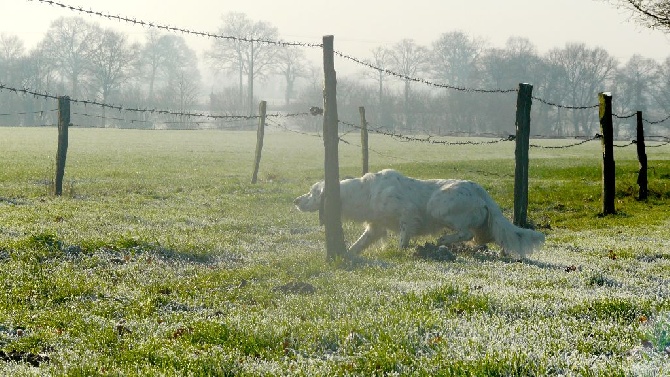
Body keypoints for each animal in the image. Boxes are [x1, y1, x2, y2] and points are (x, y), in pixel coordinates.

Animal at [294, 169, 544, 258]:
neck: (366, 193)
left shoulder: (407, 214)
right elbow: (360, 243)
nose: (296, 200)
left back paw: (443, 240)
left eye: (312, 192)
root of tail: (480, 190)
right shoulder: (375, 227)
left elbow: (403, 237)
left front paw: (402, 252)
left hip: (438, 205)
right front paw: (347, 254)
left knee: (466, 233)